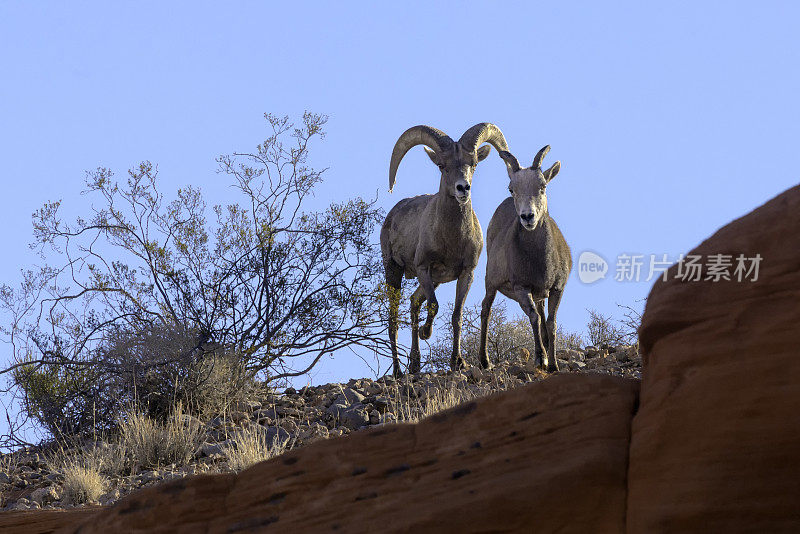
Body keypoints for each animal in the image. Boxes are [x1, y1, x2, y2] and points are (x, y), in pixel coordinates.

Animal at [380, 124, 506, 378]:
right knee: (394, 319)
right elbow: (435, 306)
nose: (463, 188)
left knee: (414, 302)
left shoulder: (466, 273)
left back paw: (415, 365)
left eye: (473, 163)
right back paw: (398, 371)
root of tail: (392, 214)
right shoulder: (423, 269)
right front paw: (425, 333)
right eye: (442, 166)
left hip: (432, 281)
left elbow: (456, 315)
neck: (451, 240)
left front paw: (457, 361)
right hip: (394, 272)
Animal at [478, 146, 572, 372]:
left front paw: (553, 365)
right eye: (512, 189)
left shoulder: (557, 288)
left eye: (543, 186)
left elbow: (551, 323)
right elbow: (535, 317)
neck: (541, 261)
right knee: (486, 310)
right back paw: (484, 361)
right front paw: (541, 359)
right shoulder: (522, 288)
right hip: (490, 284)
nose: (527, 217)